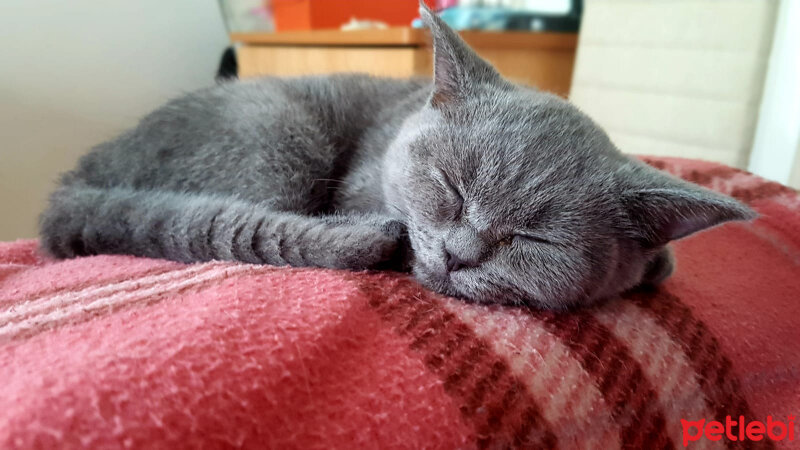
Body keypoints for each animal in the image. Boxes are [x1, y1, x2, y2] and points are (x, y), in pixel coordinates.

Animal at [37, 3, 752, 312]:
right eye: (451, 187)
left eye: (536, 239)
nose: (459, 253)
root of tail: (76, 178)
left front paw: (655, 263)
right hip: (276, 130)